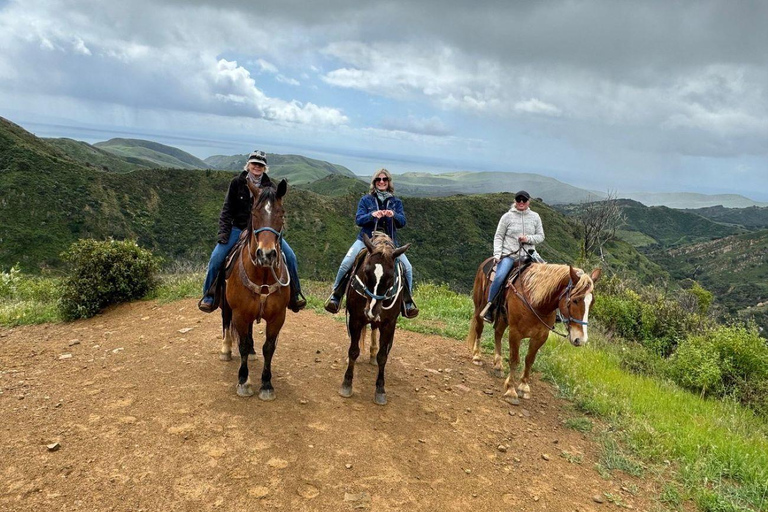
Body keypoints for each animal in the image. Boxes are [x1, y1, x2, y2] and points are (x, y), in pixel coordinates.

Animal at [222, 179, 294, 400]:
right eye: (254, 213)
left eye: (281, 213)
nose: (266, 254)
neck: (262, 274)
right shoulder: (240, 314)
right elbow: (243, 345)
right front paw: (244, 381)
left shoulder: (278, 316)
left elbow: (268, 348)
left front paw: (267, 384)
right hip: (226, 306)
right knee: (226, 322)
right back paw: (225, 349)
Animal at [340, 232, 412, 404]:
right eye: (366, 272)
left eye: (390, 277)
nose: (372, 309)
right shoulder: (355, 319)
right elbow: (353, 351)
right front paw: (347, 384)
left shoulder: (389, 324)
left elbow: (383, 356)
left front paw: (380, 390)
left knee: (374, 330)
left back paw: (372, 354)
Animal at [464, 258, 604, 406]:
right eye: (575, 300)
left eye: (592, 303)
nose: (580, 339)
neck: (535, 302)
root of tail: (487, 261)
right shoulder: (515, 332)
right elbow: (515, 360)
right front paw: (511, 391)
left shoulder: (541, 336)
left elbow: (529, 360)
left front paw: (523, 387)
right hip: (480, 307)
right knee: (479, 329)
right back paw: (477, 356)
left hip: (503, 317)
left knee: (498, 333)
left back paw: (498, 366)